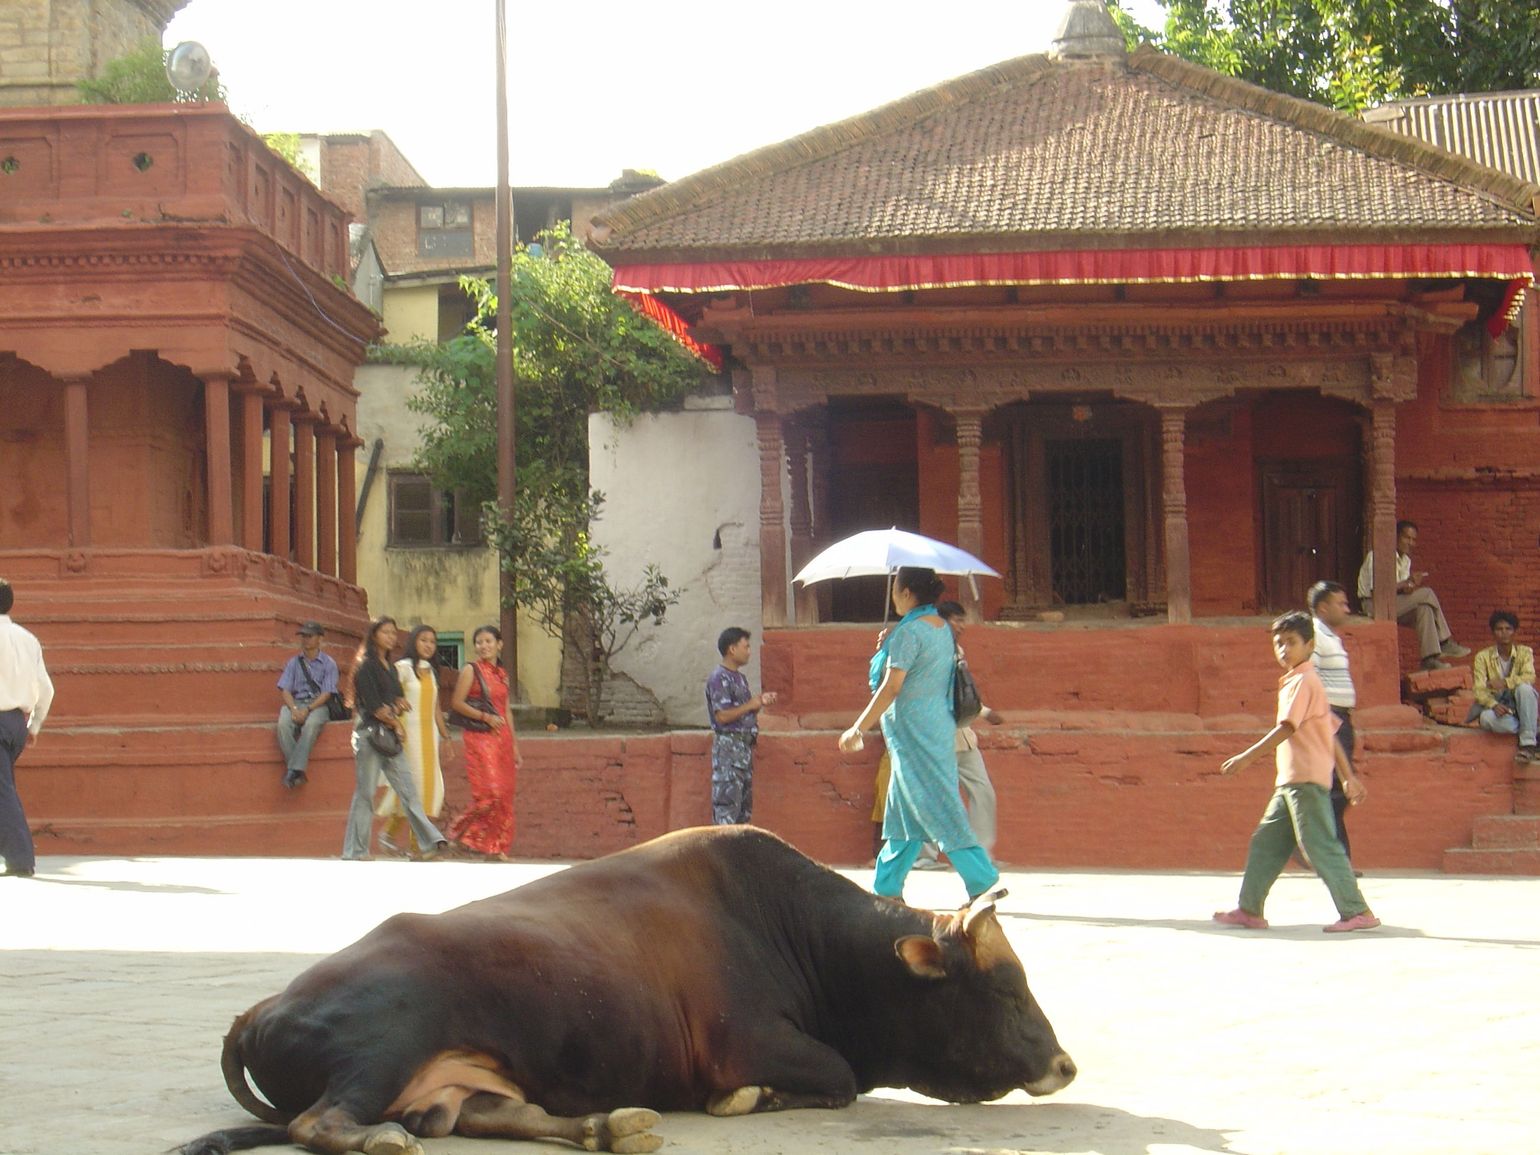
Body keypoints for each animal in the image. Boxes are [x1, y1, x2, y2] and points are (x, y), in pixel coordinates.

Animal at [178, 825, 1076, 1155]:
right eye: (1004, 988)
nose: (1065, 1063)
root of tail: (259, 1008)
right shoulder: (751, 1042)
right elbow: (838, 1077)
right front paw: (745, 1100)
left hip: (460, 1077)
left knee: (496, 1114)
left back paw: (612, 1124)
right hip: (384, 1046)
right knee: (322, 1121)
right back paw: (382, 1140)